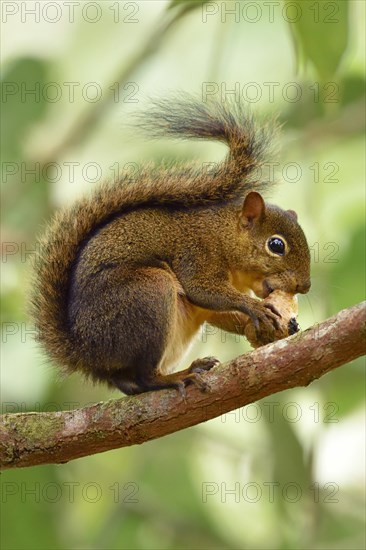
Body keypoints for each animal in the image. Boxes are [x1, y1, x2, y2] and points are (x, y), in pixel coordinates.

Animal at [31, 96, 310, 396]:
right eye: (276, 245)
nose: (305, 286)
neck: (224, 235)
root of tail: (86, 352)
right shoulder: (197, 253)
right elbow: (203, 290)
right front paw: (255, 307)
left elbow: (219, 313)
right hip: (149, 292)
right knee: (145, 377)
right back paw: (179, 376)